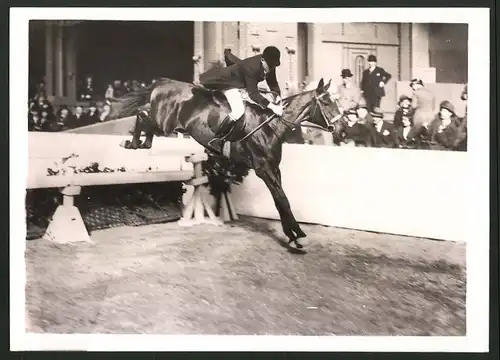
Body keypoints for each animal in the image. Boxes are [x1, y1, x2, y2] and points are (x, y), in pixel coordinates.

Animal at [108, 77, 344, 249]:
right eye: (326, 102)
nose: (342, 130)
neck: (271, 126)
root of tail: (163, 82)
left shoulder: (274, 169)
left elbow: (281, 200)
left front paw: (293, 234)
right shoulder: (264, 169)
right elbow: (282, 200)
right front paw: (297, 234)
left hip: (164, 125)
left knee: (145, 121)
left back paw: (141, 143)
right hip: (163, 123)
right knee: (142, 116)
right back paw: (132, 142)